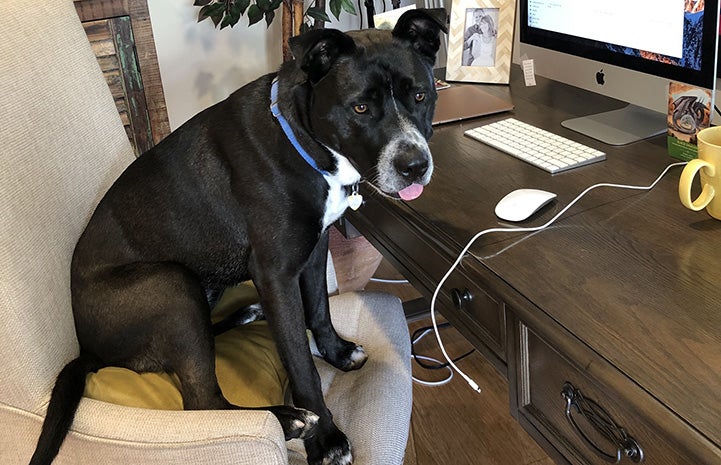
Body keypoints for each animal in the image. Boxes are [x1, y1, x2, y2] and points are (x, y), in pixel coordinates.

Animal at [32, 8, 444, 464]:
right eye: (360, 107)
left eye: (420, 96)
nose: (415, 166)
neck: (301, 138)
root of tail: (85, 348)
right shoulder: (276, 274)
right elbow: (301, 363)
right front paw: (326, 437)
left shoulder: (314, 250)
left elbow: (319, 310)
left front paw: (336, 352)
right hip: (172, 283)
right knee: (202, 401)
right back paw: (287, 419)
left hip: (199, 290)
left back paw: (246, 315)